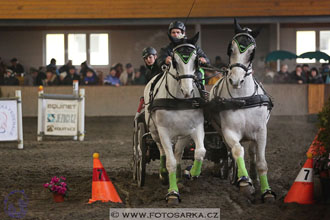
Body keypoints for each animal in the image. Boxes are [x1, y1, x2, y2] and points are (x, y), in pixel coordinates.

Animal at [144, 33, 206, 205]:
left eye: (196, 60)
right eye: (175, 61)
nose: (187, 90)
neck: (179, 99)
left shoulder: (196, 127)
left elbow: (200, 151)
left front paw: (192, 172)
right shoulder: (164, 131)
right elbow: (170, 161)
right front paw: (172, 193)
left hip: (182, 134)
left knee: (178, 152)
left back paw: (179, 177)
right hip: (154, 132)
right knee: (163, 151)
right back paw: (164, 174)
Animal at [209, 19, 276, 203]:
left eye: (252, 52)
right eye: (230, 48)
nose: (236, 80)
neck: (243, 98)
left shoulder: (261, 132)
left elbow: (261, 162)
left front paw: (266, 191)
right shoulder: (229, 131)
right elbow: (238, 151)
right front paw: (245, 183)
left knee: (252, 152)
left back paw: (253, 175)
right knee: (232, 152)